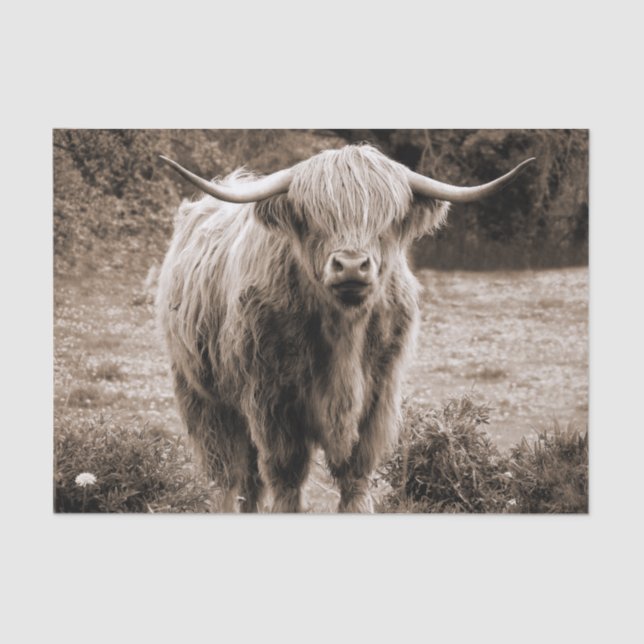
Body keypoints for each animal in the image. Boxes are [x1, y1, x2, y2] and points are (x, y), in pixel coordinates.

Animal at [157, 144, 533, 512]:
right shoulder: (271, 400)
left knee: (248, 481)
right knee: (227, 474)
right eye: (312, 218)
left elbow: (355, 475)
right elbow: (286, 476)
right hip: (203, 397)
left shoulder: (377, 398)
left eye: (388, 219)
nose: (351, 265)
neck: (343, 335)